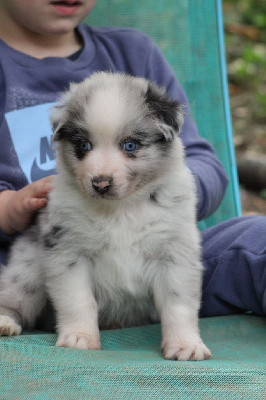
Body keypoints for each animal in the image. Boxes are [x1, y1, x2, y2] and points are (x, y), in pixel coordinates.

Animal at [0, 72, 212, 362]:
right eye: (83, 145)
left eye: (130, 145)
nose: (100, 183)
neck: (121, 210)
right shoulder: (69, 252)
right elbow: (78, 300)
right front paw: (80, 337)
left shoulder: (174, 253)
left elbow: (178, 303)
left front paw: (185, 344)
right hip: (28, 270)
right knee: (12, 298)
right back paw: (5, 321)